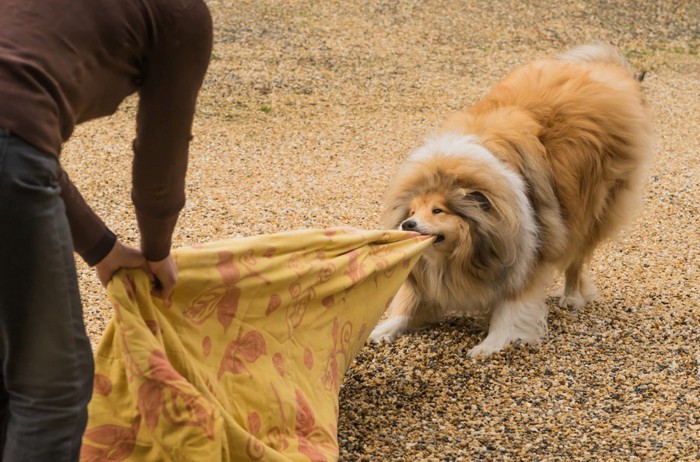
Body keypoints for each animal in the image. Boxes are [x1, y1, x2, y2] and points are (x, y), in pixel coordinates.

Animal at [370, 42, 652, 358]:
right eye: (412, 210)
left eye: (438, 210)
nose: (407, 224)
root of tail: (606, 72)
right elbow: (409, 301)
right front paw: (383, 329)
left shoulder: (525, 253)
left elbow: (511, 309)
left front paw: (490, 344)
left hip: (589, 212)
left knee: (576, 259)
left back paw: (571, 297)